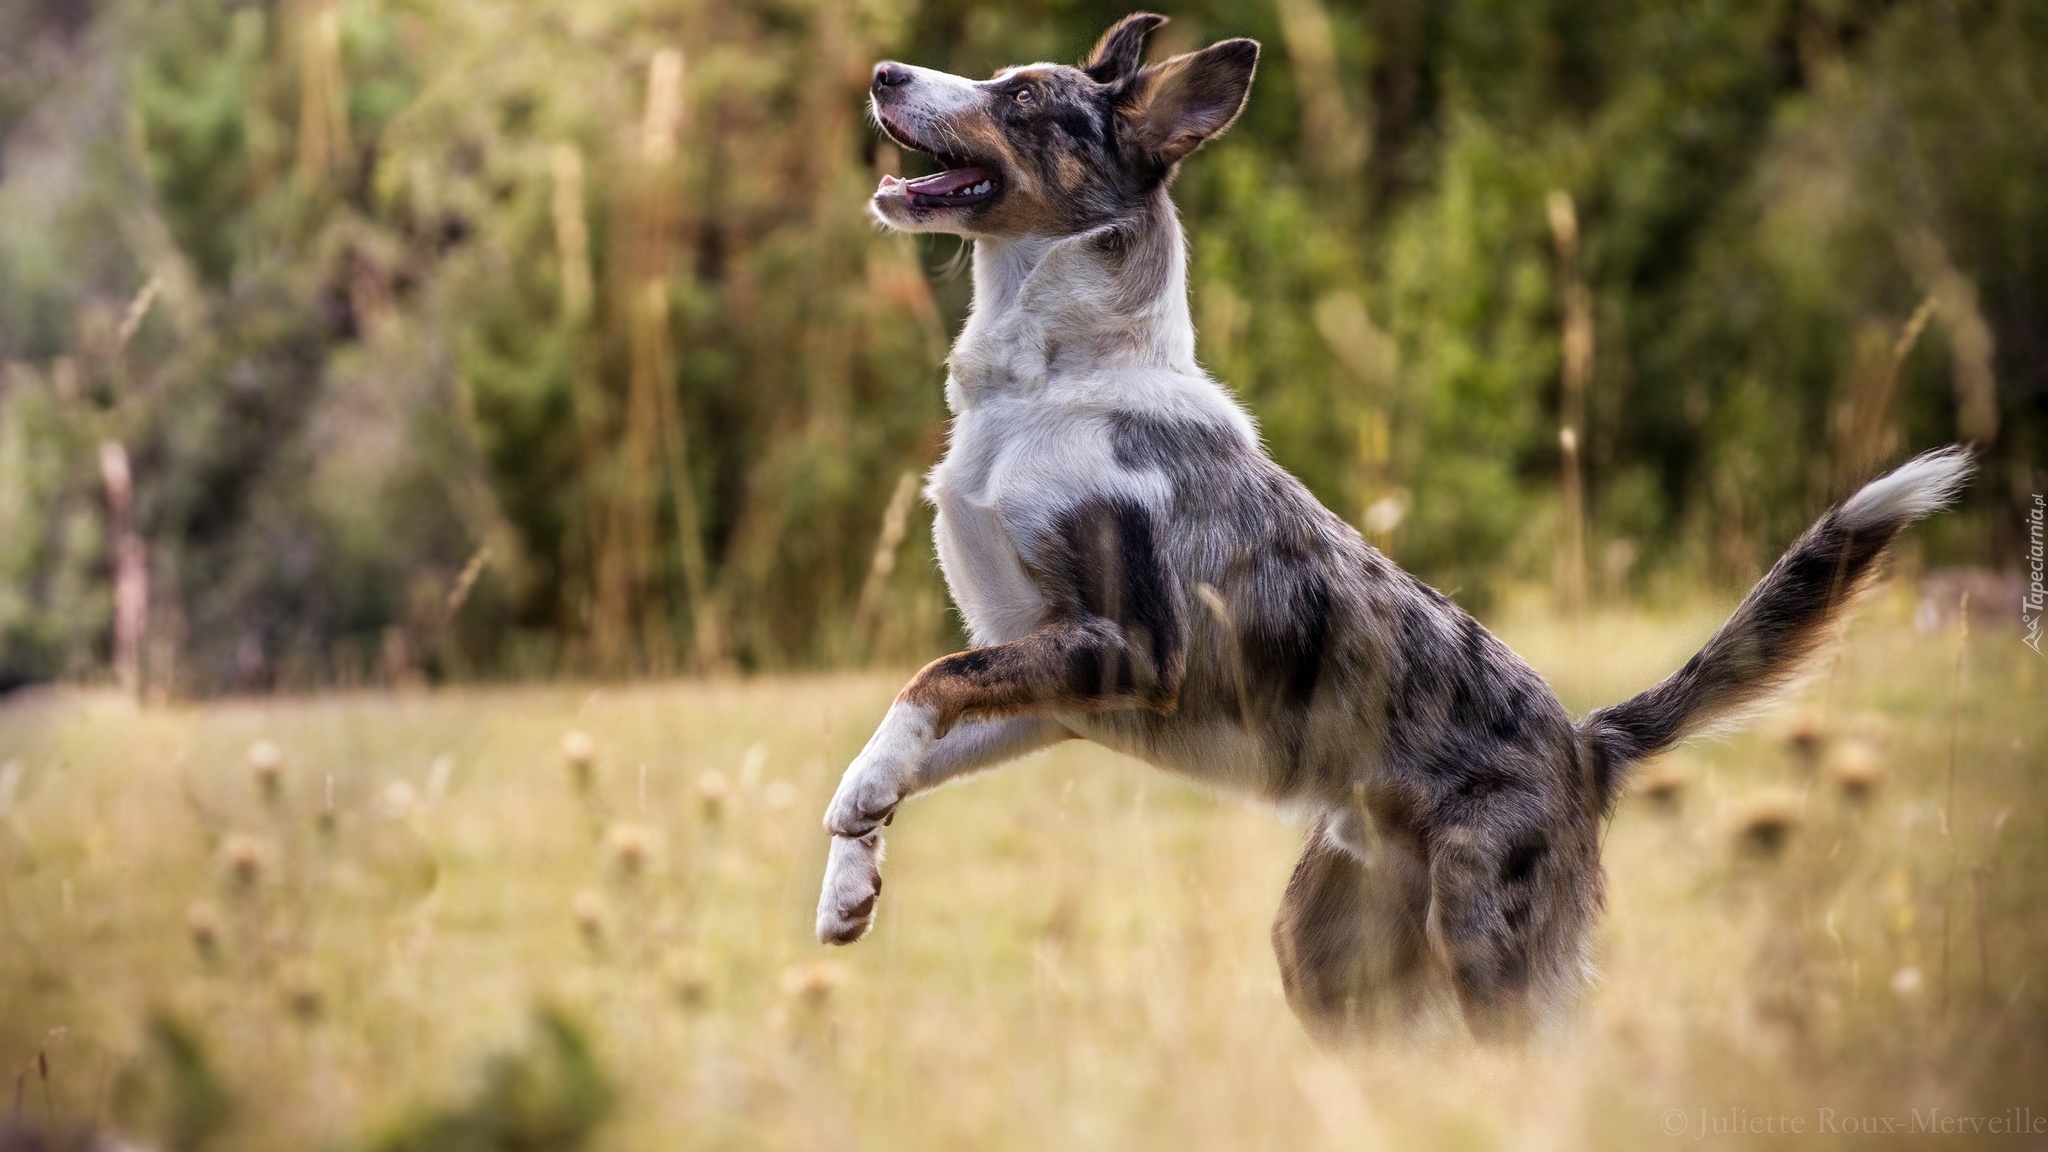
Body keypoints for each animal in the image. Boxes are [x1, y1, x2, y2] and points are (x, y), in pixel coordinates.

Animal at [806, 13, 1974, 1037]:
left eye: (1021, 97)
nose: (881, 72)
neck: (1053, 384)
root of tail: (1584, 745)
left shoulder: (1132, 647)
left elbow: (926, 680)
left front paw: (856, 799)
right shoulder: (1052, 679)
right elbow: (929, 721)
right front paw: (851, 870)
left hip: (1491, 947)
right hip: (1328, 954)